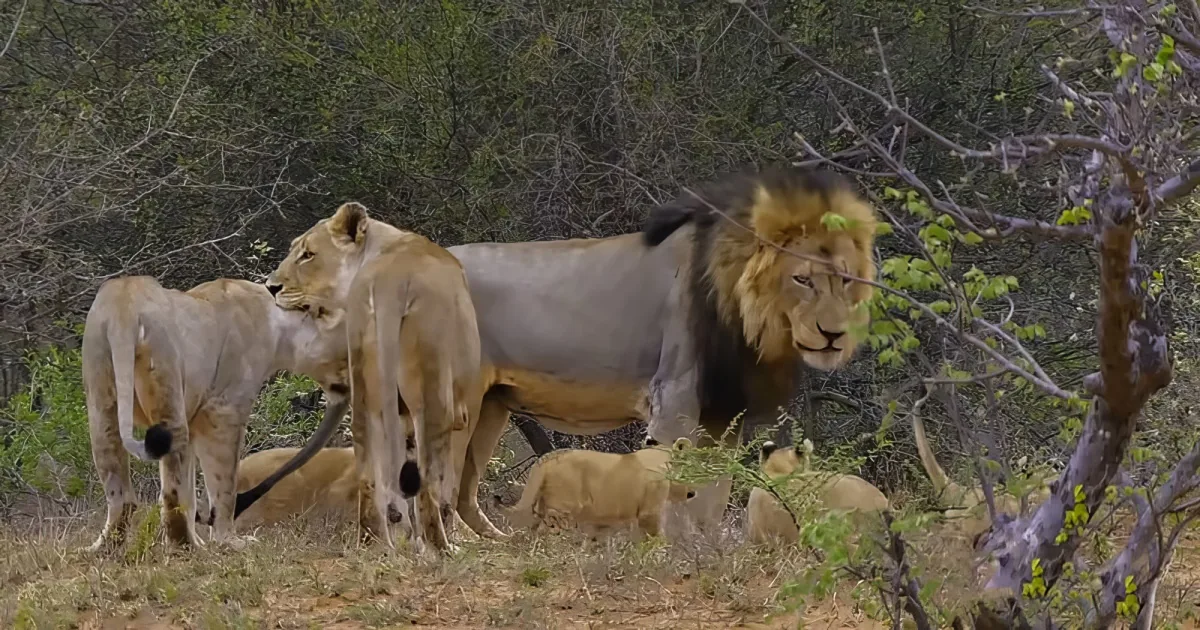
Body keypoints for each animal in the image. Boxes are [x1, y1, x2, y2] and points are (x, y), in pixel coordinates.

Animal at [82, 276, 349, 552]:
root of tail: (123, 303)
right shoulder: (222, 411)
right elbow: (224, 482)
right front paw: (228, 541)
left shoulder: (193, 416)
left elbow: (191, 489)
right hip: (166, 384)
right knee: (171, 492)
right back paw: (185, 546)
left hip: (101, 393)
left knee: (121, 490)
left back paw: (104, 548)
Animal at [257, 201, 487, 553]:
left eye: (307, 254)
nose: (271, 287)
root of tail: (389, 282)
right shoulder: (466, 408)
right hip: (432, 392)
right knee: (426, 480)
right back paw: (440, 548)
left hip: (366, 390)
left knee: (369, 470)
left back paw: (375, 544)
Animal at [500, 437, 698, 540]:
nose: (692, 493)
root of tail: (546, 458)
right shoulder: (650, 512)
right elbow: (656, 537)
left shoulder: (603, 521)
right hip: (562, 508)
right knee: (546, 530)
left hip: (542, 504)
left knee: (534, 528)